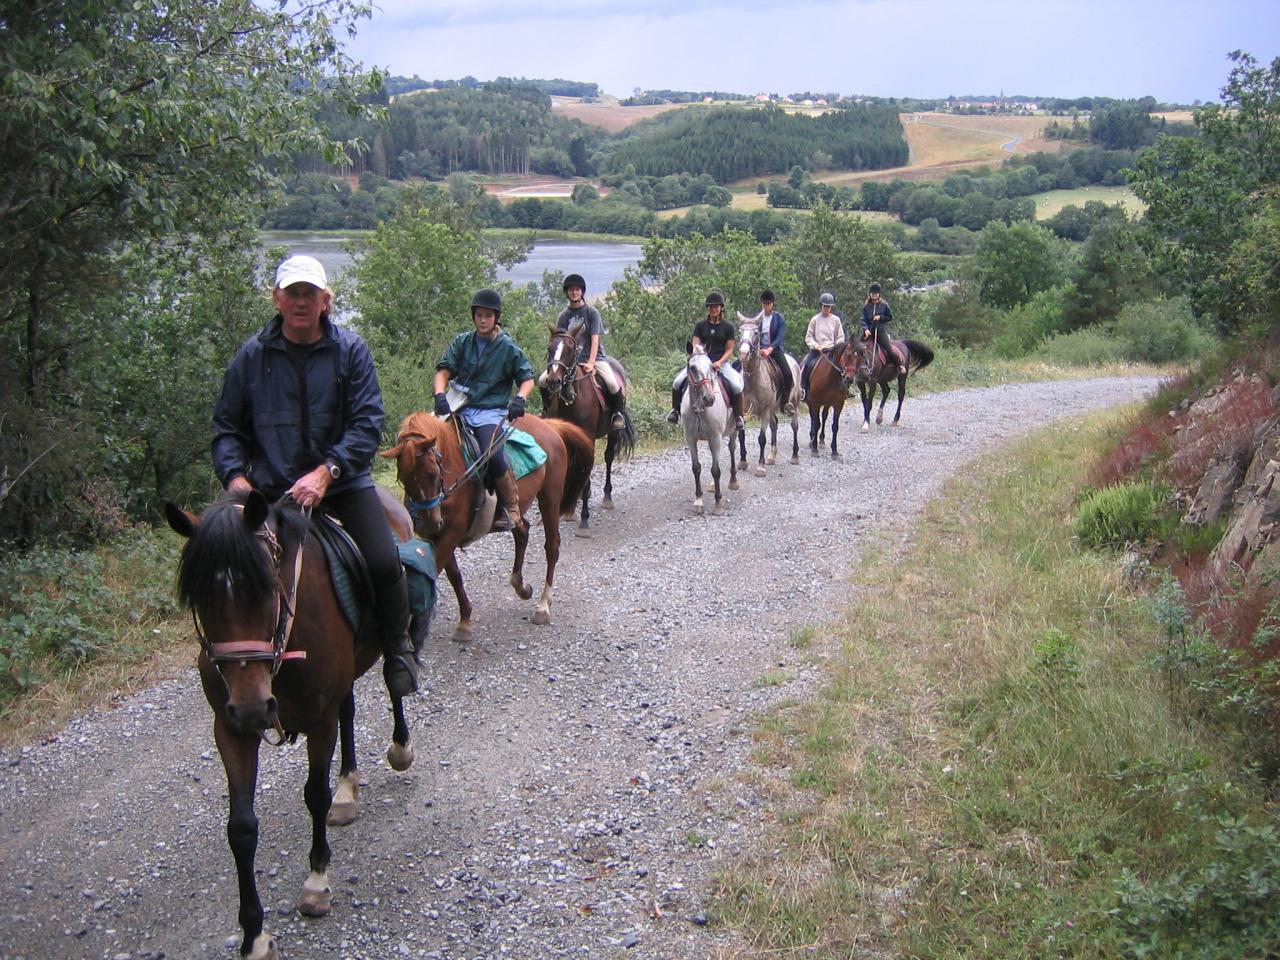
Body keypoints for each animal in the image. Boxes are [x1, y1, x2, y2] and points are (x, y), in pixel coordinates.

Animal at [162, 488, 424, 960]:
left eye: (266, 588)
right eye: (200, 600)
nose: (251, 706)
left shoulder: (318, 720)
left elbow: (315, 795)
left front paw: (317, 883)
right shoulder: (230, 730)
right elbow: (241, 828)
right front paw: (254, 934)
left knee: (393, 682)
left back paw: (399, 747)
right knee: (348, 712)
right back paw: (348, 789)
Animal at [381, 412, 596, 642]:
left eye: (432, 473)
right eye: (403, 477)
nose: (429, 522)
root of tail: (549, 425)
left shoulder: (451, 533)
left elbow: (434, 573)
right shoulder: (437, 537)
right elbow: (454, 576)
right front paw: (465, 620)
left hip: (550, 498)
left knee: (552, 546)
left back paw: (543, 606)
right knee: (522, 531)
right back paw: (521, 587)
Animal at [540, 321, 634, 535]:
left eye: (570, 349)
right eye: (549, 349)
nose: (554, 381)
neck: (572, 400)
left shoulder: (587, 437)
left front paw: (584, 520)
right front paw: (569, 510)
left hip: (613, 431)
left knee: (608, 457)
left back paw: (607, 497)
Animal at [680, 343, 742, 514]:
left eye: (711, 367)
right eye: (692, 368)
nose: (709, 398)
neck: (699, 409)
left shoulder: (715, 437)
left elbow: (716, 470)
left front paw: (718, 504)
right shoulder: (690, 438)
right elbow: (696, 468)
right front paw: (698, 501)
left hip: (733, 430)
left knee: (732, 448)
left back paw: (733, 481)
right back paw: (713, 486)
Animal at [732, 313, 798, 476]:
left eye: (756, 332)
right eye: (740, 331)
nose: (743, 353)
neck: (753, 379)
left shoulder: (765, 411)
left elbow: (761, 438)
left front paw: (760, 467)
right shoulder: (743, 410)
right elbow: (741, 435)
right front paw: (743, 462)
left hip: (794, 403)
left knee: (794, 426)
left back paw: (794, 456)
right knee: (774, 425)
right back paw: (771, 456)